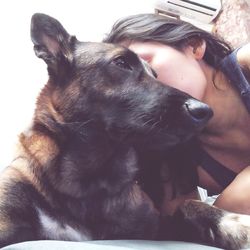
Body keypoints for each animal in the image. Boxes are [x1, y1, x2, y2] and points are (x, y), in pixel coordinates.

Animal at [0, 12, 250, 249]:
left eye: (155, 73)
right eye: (121, 63)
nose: (204, 111)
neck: (94, 173)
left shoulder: (154, 226)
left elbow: (189, 205)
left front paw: (236, 222)